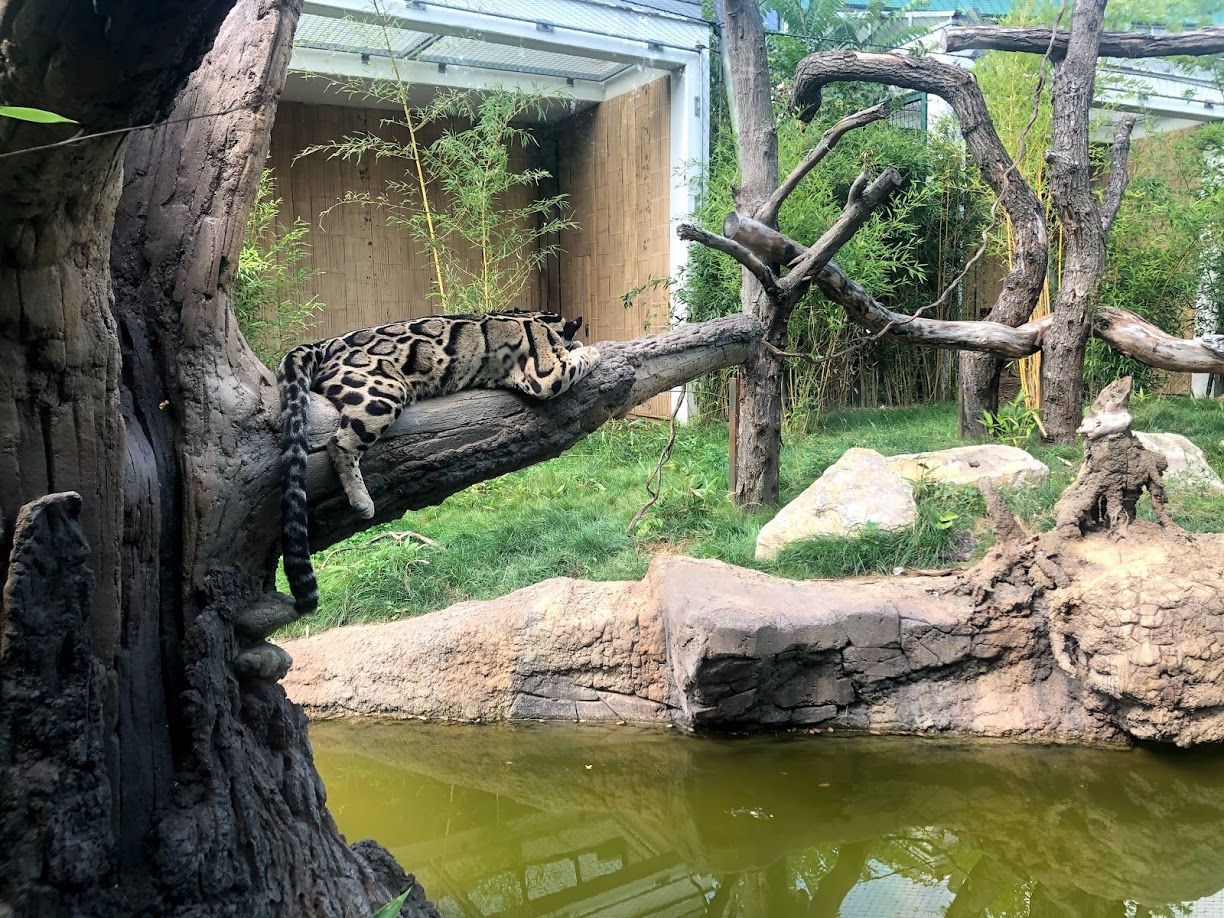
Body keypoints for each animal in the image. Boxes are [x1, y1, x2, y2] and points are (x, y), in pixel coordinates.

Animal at [277, 310, 601, 615]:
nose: (577, 340)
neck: (538, 319)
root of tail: (326, 343)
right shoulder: (546, 374)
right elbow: (574, 362)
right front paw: (590, 350)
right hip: (380, 392)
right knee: (339, 443)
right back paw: (362, 500)